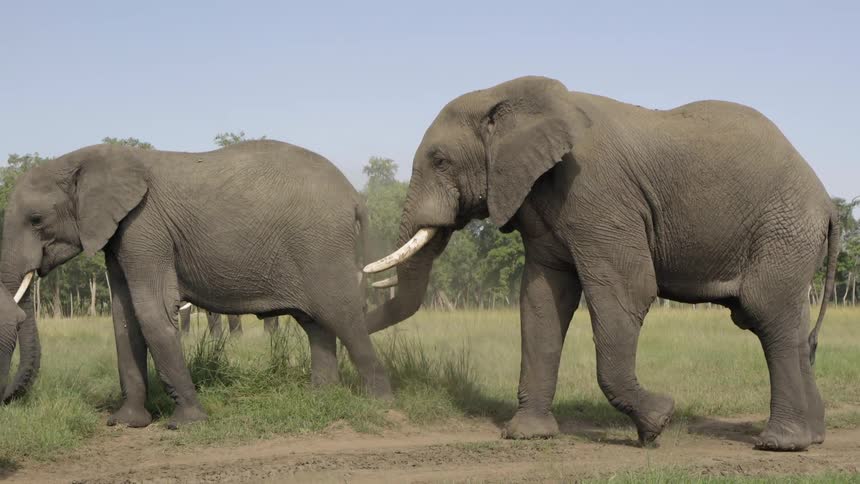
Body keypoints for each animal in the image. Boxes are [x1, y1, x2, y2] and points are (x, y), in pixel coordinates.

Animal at [0, 139, 391, 428]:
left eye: (36, 220)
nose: (8, 401)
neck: (83, 158)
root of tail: (355, 196)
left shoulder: (144, 226)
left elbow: (152, 311)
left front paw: (185, 424)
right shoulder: (120, 235)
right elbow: (124, 318)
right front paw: (126, 423)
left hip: (322, 246)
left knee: (341, 313)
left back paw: (379, 404)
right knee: (315, 322)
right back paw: (322, 398)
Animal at [362, 76, 838, 452]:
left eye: (440, 161)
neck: (504, 95)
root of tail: (828, 204)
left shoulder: (598, 193)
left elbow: (627, 291)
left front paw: (658, 423)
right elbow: (541, 302)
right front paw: (527, 436)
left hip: (783, 228)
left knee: (766, 314)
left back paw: (780, 444)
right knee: (791, 325)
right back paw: (812, 438)